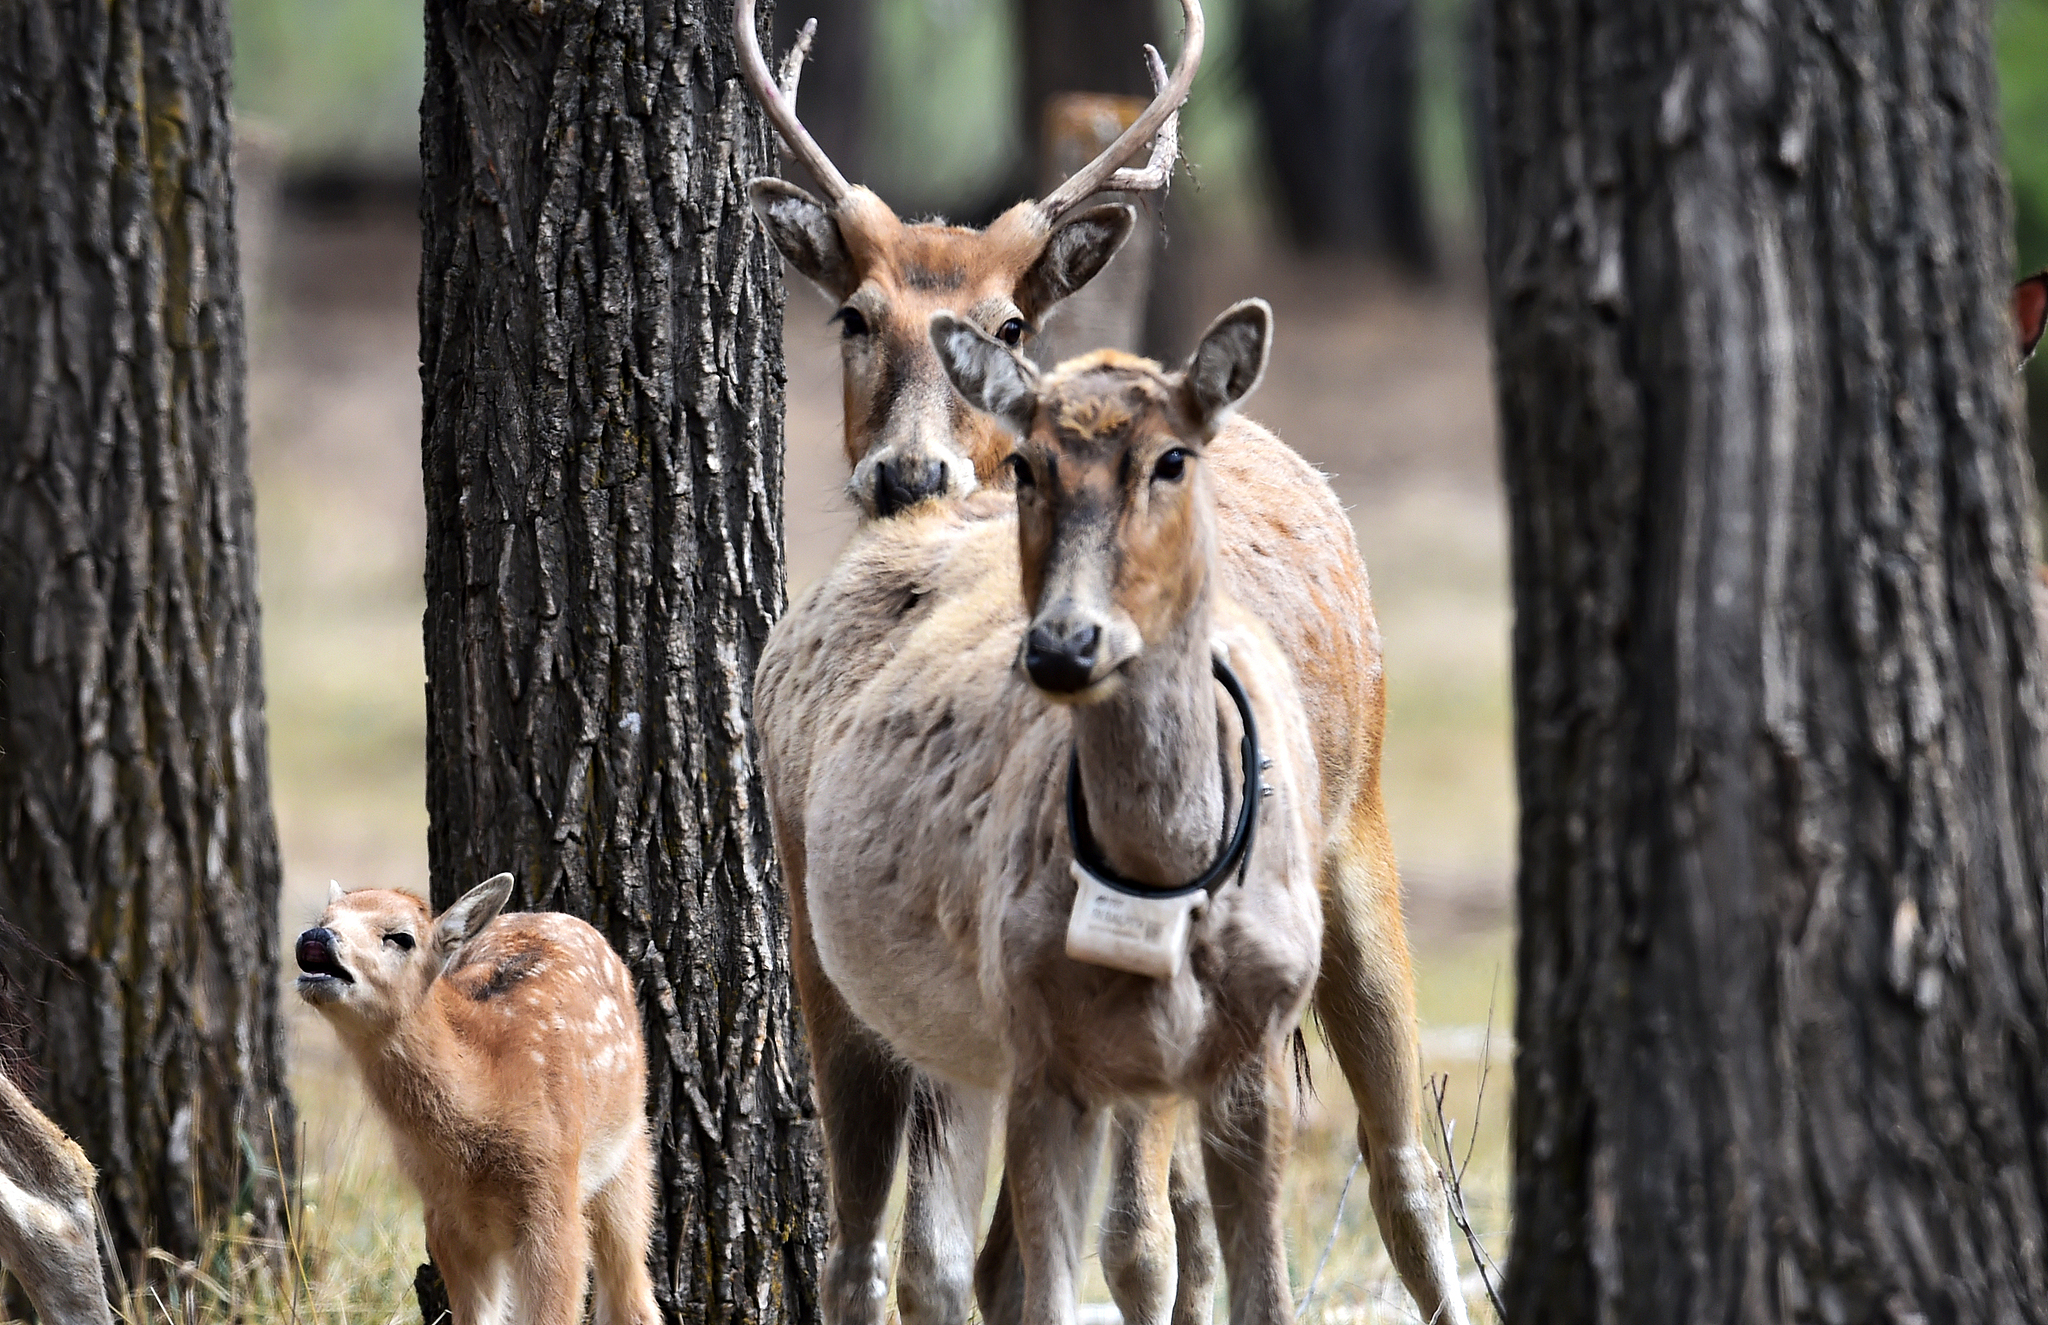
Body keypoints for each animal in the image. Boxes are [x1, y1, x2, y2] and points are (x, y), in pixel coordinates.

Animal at [294, 876, 659, 1325]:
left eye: (401, 937)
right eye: (326, 917)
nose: (317, 936)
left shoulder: (554, 1201)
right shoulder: (445, 1221)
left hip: (627, 1160)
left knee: (632, 1293)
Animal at [757, 299, 1331, 1325]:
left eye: (1173, 458)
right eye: (1027, 463)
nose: (1064, 642)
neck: (1161, 880)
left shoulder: (1256, 1047)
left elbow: (1256, 1290)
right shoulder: (1042, 1045)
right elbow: (1057, 1287)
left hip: (956, 1032)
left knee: (953, 1254)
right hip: (829, 963)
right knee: (857, 1252)